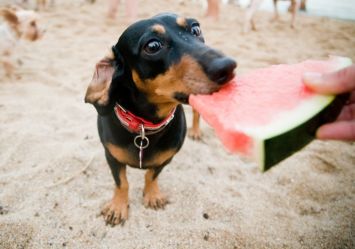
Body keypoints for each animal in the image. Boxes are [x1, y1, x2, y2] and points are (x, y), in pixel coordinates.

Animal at [85, 13, 238, 226]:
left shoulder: (167, 158)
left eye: (195, 29)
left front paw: (152, 195)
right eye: (153, 46)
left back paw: (196, 131)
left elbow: (151, 175)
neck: (144, 127)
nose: (228, 66)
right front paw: (118, 207)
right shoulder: (112, 157)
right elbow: (122, 182)